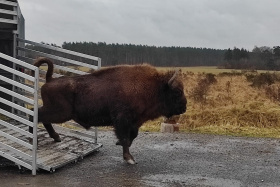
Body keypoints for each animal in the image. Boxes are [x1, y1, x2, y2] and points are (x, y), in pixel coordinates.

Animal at [30, 57, 187, 164]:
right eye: (177, 92)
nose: (184, 107)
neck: (155, 87)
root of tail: (50, 80)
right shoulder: (122, 121)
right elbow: (126, 138)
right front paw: (129, 158)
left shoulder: (134, 122)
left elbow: (132, 136)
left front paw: (120, 146)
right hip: (60, 113)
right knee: (36, 114)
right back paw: (37, 138)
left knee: (39, 116)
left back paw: (55, 137)